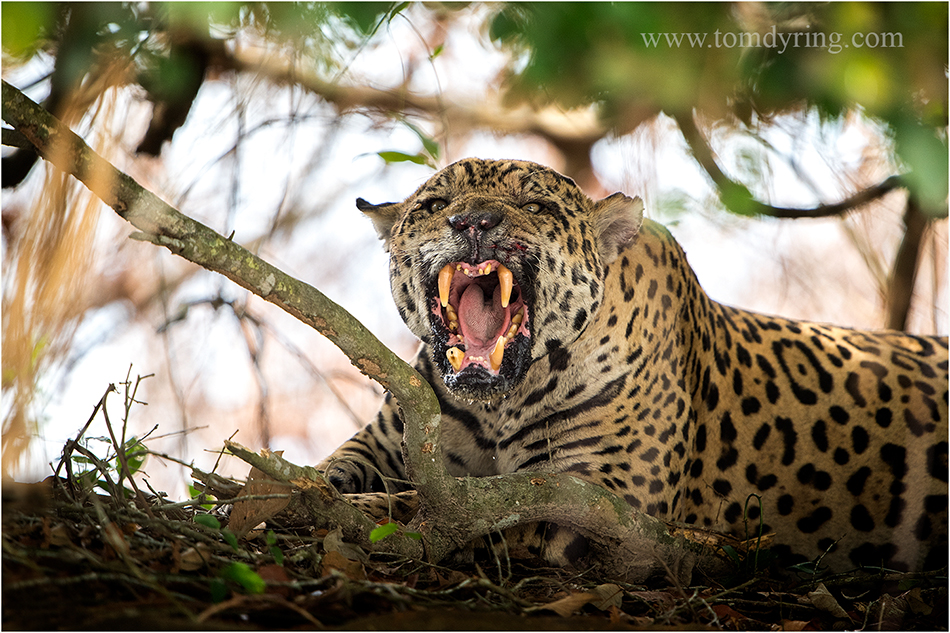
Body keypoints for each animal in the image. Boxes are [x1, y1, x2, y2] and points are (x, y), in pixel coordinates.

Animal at [317, 157, 948, 574]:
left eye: (534, 206)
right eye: (434, 206)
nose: (472, 222)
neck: (500, 402)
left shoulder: (595, 501)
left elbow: (439, 507)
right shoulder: (387, 442)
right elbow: (335, 471)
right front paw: (315, 488)